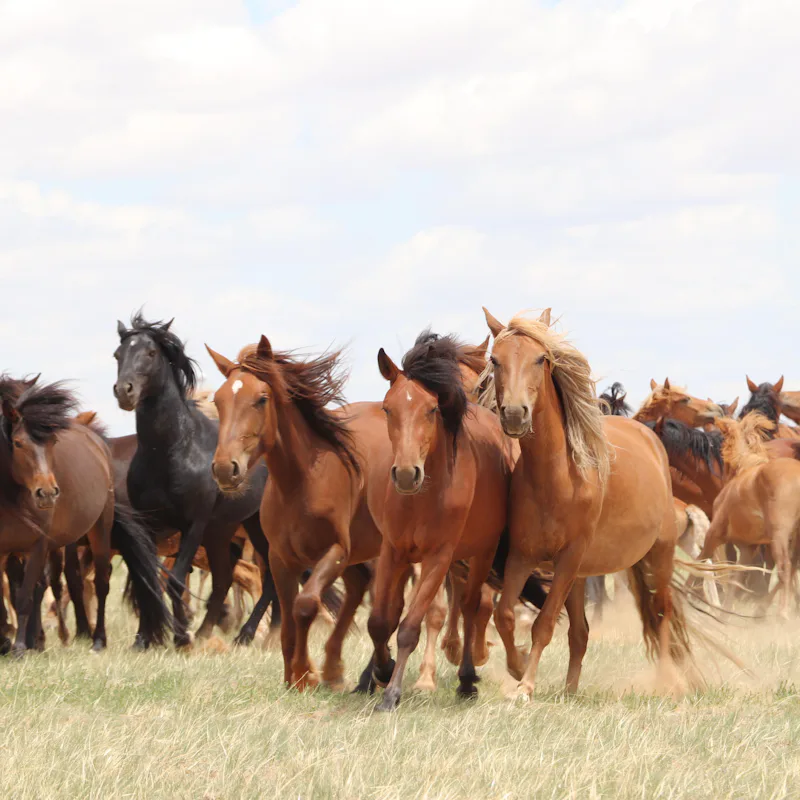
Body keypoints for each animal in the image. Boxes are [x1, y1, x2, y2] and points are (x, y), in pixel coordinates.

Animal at [0, 377, 169, 654]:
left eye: (53, 443)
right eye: (17, 443)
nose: (47, 493)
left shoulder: (39, 545)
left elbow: (26, 595)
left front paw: (21, 647)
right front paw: (13, 640)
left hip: (99, 531)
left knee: (100, 582)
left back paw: (97, 639)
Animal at [113, 313, 279, 647]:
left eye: (151, 353)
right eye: (117, 354)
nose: (125, 391)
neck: (173, 451)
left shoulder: (193, 525)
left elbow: (176, 579)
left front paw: (180, 636)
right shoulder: (148, 524)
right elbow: (147, 579)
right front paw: (145, 639)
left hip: (257, 526)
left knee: (269, 578)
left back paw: (250, 635)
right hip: (222, 530)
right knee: (225, 577)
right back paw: (208, 632)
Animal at [481, 308, 693, 698]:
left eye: (541, 358)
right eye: (495, 359)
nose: (515, 414)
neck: (558, 477)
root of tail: (651, 439)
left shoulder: (569, 556)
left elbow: (544, 623)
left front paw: (526, 686)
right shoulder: (523, 555)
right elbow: (504, 615)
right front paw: (518, 668)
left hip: (659, 556)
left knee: (662, 615)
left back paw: (666, 682)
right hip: (581, 575)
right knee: (580, 634)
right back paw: (569, 689)